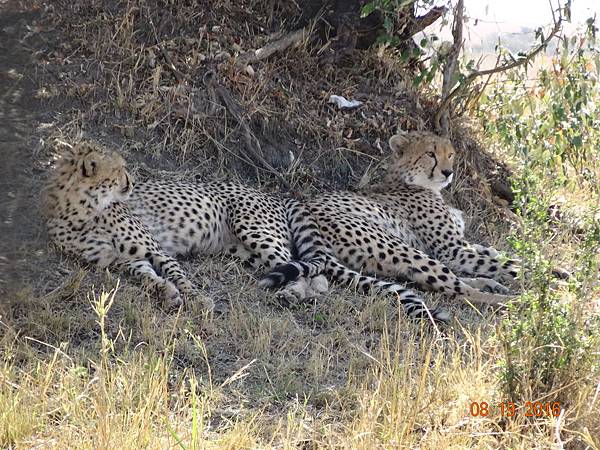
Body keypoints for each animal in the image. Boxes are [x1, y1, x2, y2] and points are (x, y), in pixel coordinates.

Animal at [43, 142, 328, 308]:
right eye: (118, 170)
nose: (132, 181)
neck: (83, 211)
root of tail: (274, 195)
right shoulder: (121, 260)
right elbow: (146, 276)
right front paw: (166, 292)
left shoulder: (156, 250)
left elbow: (179, 276)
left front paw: (197, 298)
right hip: (244, 252)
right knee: (309, 271)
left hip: (253, 230)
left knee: (306, 268)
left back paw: (292, 294)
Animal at [302, 130, 516, 320]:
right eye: (430, 154)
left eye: (450, 154)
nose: (448, 172)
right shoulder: (450, 250)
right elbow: (496, 263)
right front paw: (520, 270)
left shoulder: (458, 245)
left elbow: (489, 252)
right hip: (398, 247)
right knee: (456, 290)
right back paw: (511, 301)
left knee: (436, 281)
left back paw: (490, 284)